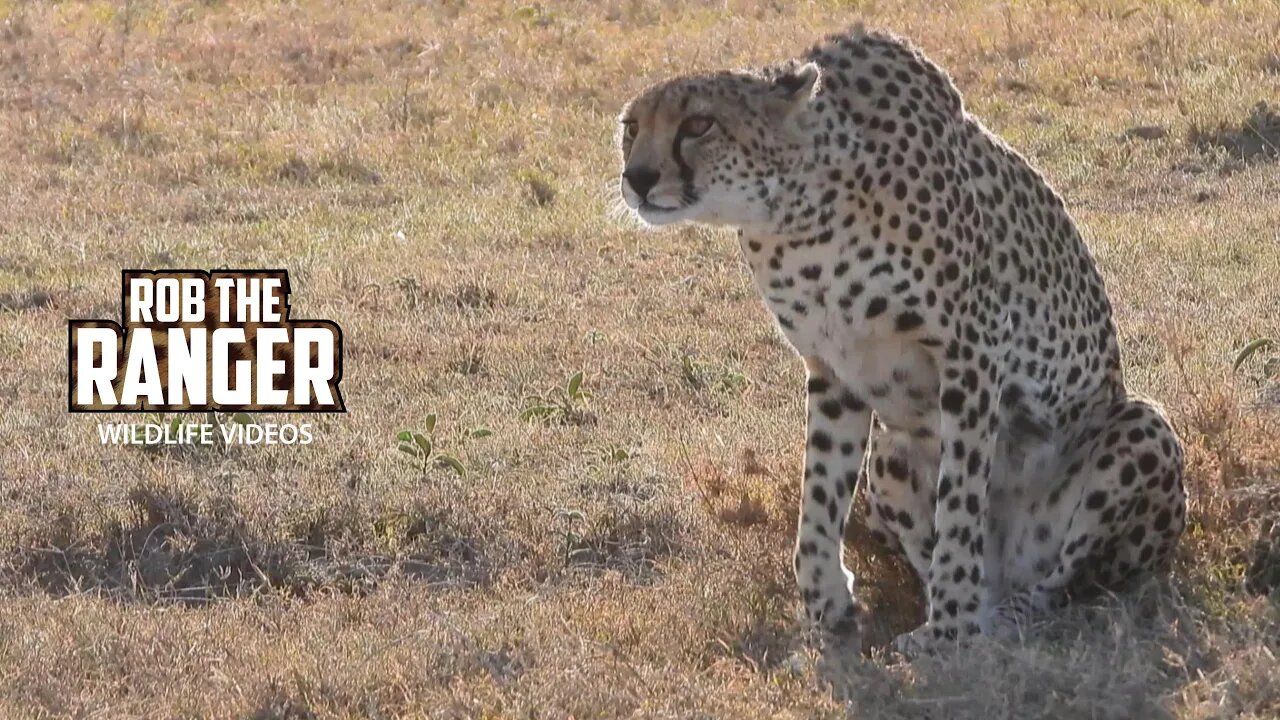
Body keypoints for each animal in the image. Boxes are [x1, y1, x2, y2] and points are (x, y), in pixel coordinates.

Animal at [614, 26, 1182, 650]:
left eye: (699, 124)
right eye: (631, 127)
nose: (637, 179)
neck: (795, 210)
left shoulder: (971, 347)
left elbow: (960, 502)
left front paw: (949, 632)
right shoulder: (833, 367)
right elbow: (818, 497)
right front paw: (826, 608)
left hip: (1141, 427)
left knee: (1060, 581)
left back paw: (997, 618)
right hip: (889, 455)